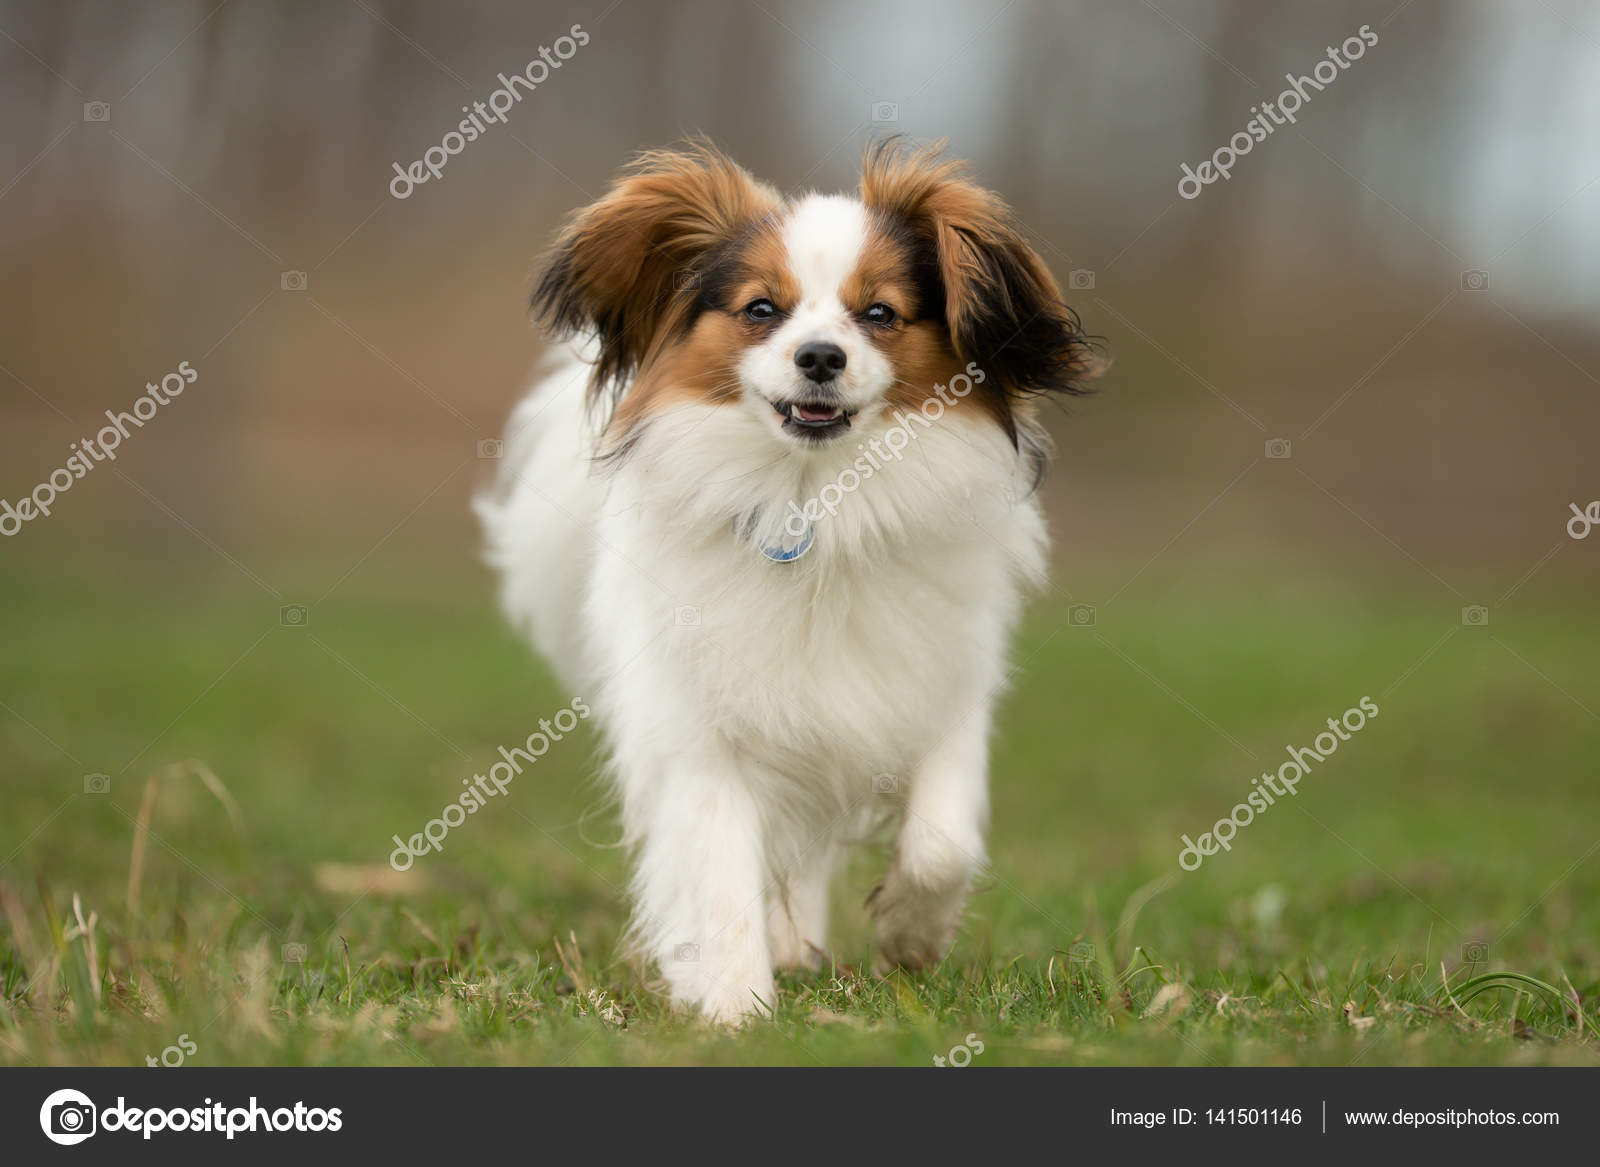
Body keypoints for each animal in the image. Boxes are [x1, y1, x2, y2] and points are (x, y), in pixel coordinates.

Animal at [473, 138, 1094, 1018]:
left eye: (880, 314)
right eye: (762, 308)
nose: (820, 357)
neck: (817, 506)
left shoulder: (942, 691)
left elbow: (941, 841)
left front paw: (913, 931)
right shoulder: (702, 733)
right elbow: (721, 877)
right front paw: (735, 1008)